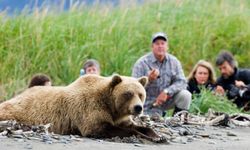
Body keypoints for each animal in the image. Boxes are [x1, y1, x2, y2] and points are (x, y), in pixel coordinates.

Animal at [0, 74, 164, 142]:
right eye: (128, 93)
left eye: (141, 94)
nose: (138, 108)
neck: (111, 106)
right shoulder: (89, 109)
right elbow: (100, 128)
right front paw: (144, 136)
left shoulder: (120, 117)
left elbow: (134, 125)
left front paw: (157, 136)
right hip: (18, 112)